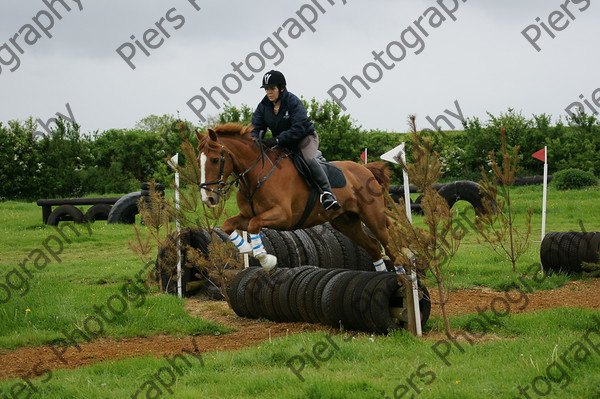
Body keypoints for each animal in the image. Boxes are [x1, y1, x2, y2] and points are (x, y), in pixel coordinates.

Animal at [196, 123, 394, 274]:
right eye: (199, 161)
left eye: (215, 160)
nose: (207, 198)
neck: (257, 175)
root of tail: (366, 169)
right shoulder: (247, 215)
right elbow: (229, 224)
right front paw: (247, 249)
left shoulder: (284, 216)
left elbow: (254, 224)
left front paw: (266, 260)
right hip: (346, 222)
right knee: (373, 246)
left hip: (373, 218)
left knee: (388, 245)